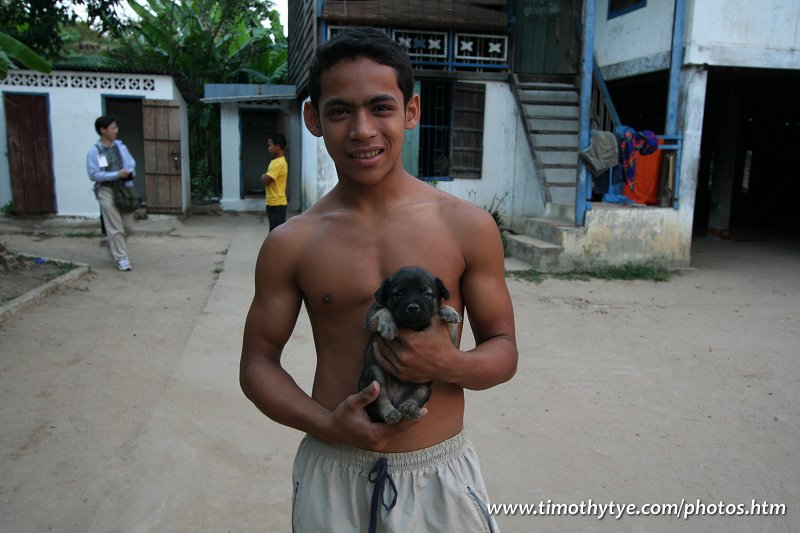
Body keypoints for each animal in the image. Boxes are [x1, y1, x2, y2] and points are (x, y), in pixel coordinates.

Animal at [358, 266, 462, 424]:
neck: (413, 326)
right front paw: (389, 326)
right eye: (399, 294)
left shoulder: (451, 341)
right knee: (381, 400)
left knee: (414, 398)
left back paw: (409, 408)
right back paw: (391, 413)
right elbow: (383, 310)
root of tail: (396, 397)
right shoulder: (371, 317)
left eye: (426, 294)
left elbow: (442, 312)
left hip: (423, 387)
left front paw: (449, 312)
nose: (413, 308)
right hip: (374, 374)